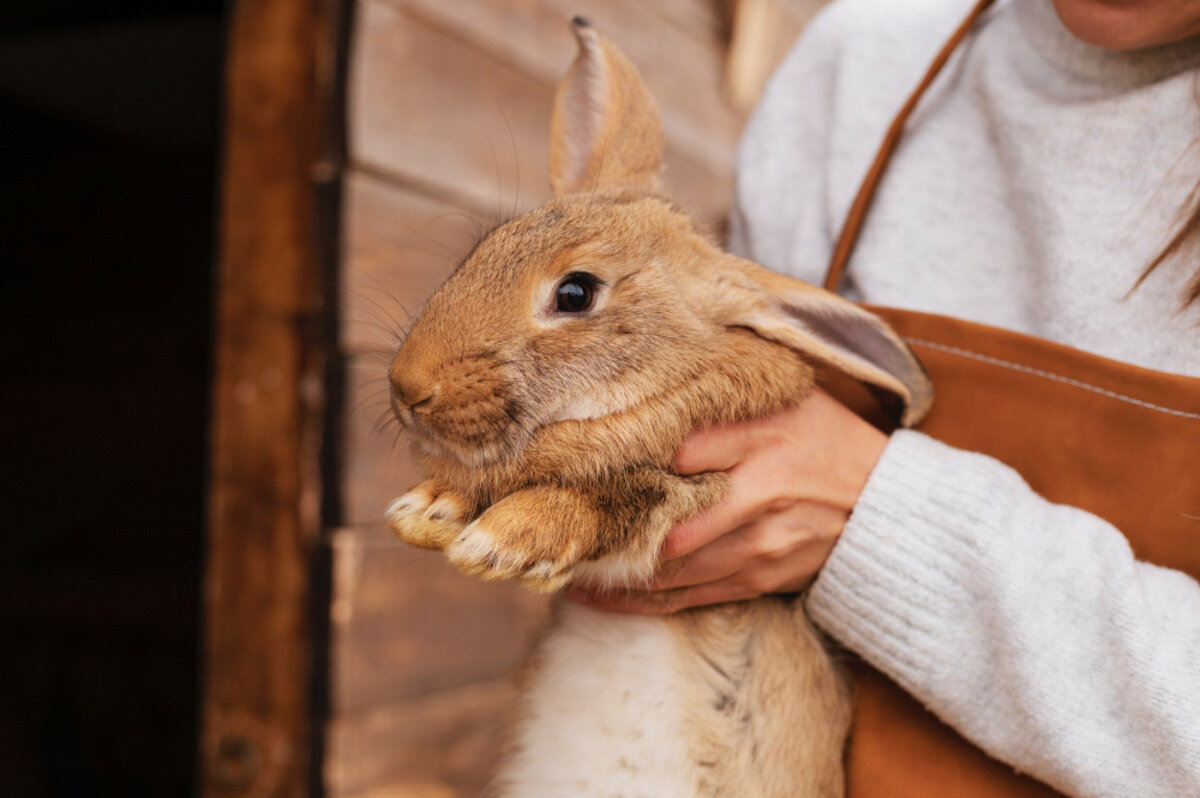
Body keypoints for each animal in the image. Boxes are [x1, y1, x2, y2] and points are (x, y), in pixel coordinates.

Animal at [388, 18, 931, 796]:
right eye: (483, 249)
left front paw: (508, 539)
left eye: (576, 293)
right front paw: (429, 509)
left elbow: (620, 496)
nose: (407, 387)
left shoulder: (698, 495)